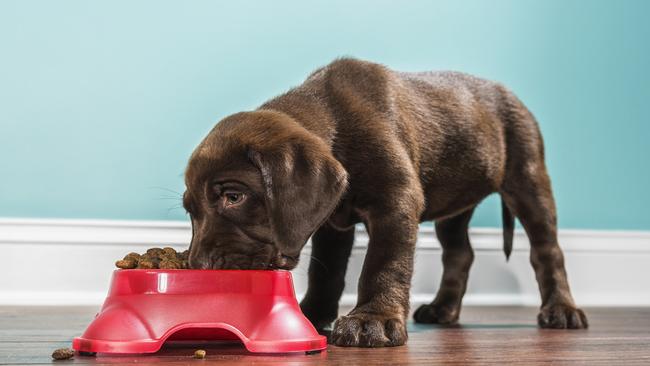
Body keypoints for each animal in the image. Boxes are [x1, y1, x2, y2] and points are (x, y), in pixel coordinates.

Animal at [182, 58, 588, 348]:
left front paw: (371, 320)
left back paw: (562, 310)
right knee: (459, 252)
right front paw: (313, 314)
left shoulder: (396, 201)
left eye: (234, 197)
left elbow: (384, 262)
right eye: (190, 210)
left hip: (528, 177)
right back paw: (443, 308)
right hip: (455, 206)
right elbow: (326, 273)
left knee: (547, 250)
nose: (197, 266)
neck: (334, 121)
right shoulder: (331, 221)